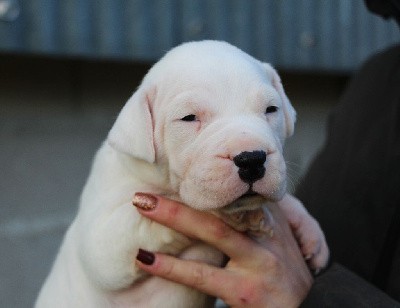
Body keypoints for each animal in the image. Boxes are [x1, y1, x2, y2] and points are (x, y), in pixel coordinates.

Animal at [36, 41, 328, 308]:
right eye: (188, 118)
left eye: (271, 110)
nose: (251, 159)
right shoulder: (104, 241)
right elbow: (150, 218)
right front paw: (237, 216)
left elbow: (288, 203)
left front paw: (311, 236)